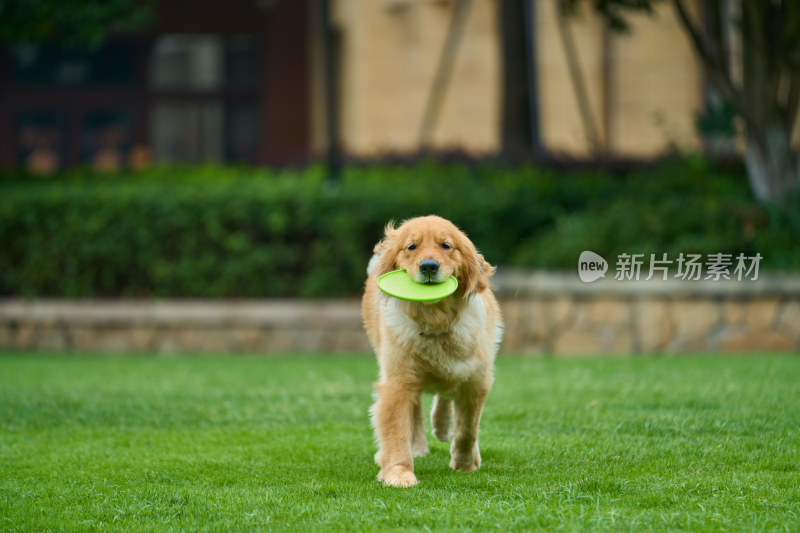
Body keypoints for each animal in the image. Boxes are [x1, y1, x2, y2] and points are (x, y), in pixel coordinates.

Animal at [360, 214, 500, 484]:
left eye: (446, 246)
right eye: (411, 246)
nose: (428, 267)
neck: (436, 323)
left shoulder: (477, 380)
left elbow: (468, 429)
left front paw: (464, 463)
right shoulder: (398, 382)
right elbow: (397, 430)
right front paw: (399, 472)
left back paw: (443, 426)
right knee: (417, 409)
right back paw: (419, 445)